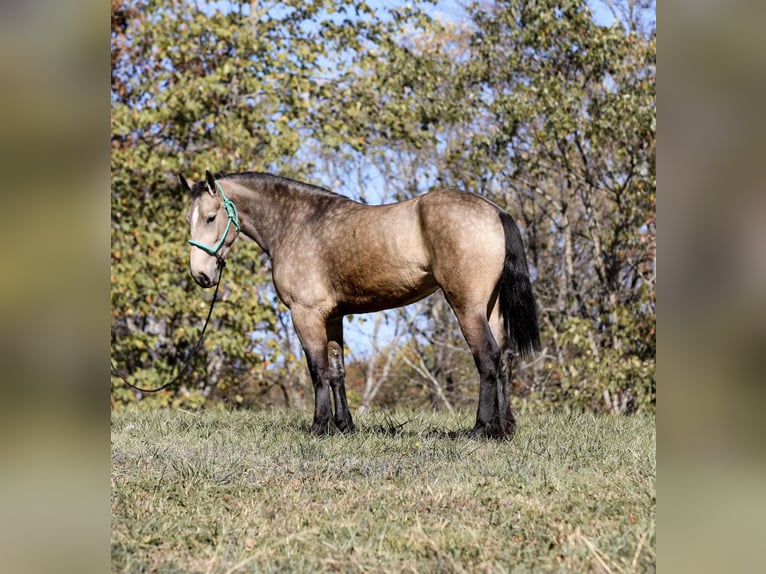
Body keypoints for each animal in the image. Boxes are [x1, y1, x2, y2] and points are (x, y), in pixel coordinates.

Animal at [181, 171, 544, 440]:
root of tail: (495, 211)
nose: (201, 274)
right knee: (505, 358)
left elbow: (317, 370)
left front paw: (320, 426)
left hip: (467, 306)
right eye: (189, 218)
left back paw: (482, 428)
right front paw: (343, 426)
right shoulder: (333, 317)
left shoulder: (305, 314)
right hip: (491, 308)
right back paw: (504, 427)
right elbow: (337, 371)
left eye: (211, 217)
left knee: (487, 357)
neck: (297, 223)